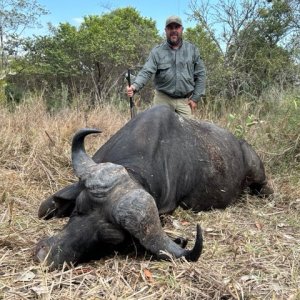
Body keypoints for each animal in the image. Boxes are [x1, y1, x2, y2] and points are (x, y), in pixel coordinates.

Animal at [35, 105, 272, 268]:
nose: (44, 255)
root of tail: (242, 145)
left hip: (257, 173)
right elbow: (45, 207)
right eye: (78, 209)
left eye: (110, 238)